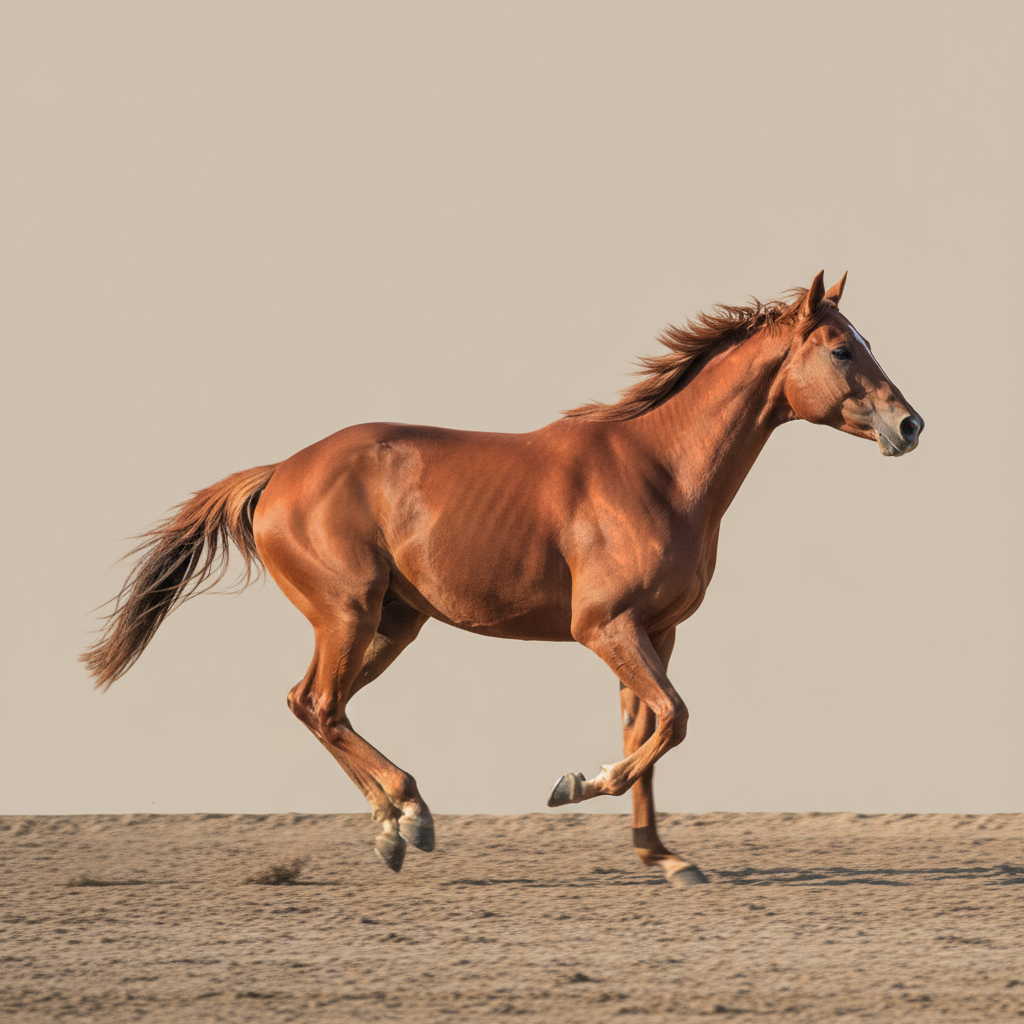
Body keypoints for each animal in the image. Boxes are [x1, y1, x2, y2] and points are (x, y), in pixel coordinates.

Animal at [82, 271, 923, 886]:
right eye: (842, 351)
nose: (911, 424)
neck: (659, 471)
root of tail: (281, 473)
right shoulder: (604, 628)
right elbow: (674, 720)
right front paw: (575, 784)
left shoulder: (655, 631)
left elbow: (648, 730)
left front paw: (664, 857)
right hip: (348, 614)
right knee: (318, 703)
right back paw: (411, 815)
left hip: (392, 624)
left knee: (319, 706)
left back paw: (391, 828)